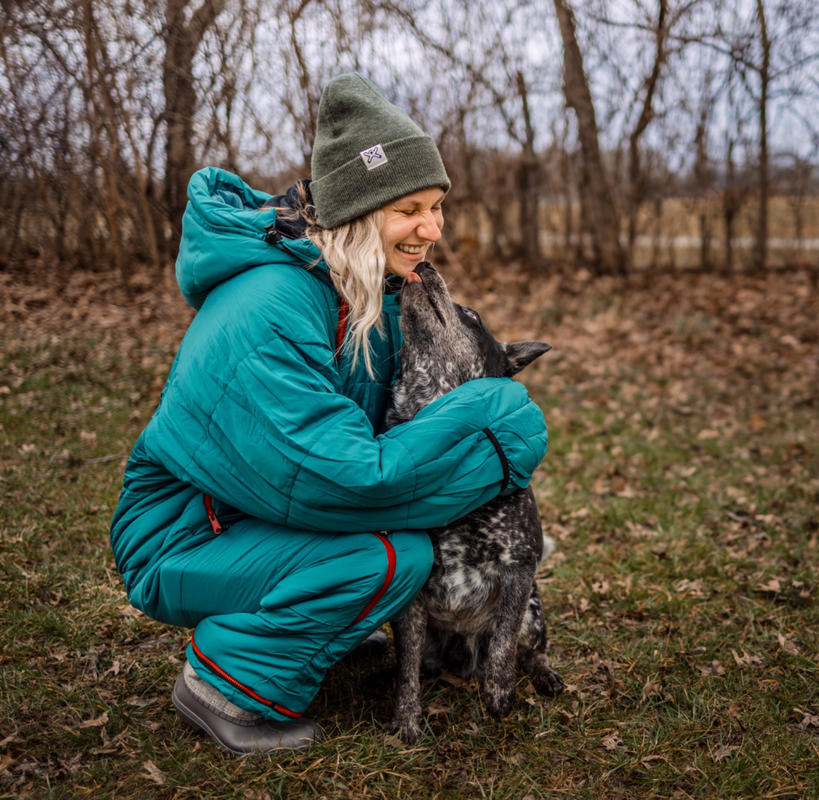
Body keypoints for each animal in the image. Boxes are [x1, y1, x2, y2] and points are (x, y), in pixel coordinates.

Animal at [390, 260, 564, 744]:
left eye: (472, 316)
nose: (425, 263)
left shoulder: (519, 566)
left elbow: (503, 643)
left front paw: (499, 694)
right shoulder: (411, 598)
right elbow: (406, 664)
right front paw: (406, 719)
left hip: (535, 613)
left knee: (531, 649)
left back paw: (543, 676)